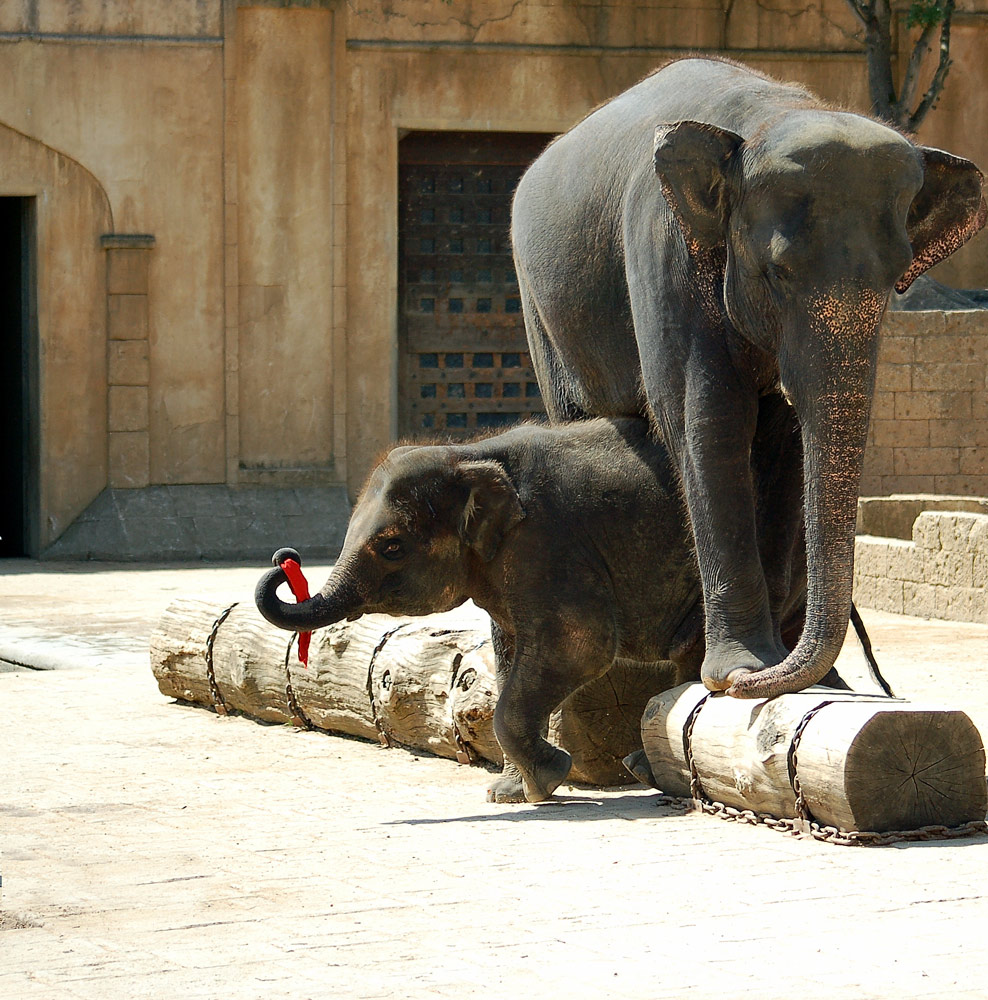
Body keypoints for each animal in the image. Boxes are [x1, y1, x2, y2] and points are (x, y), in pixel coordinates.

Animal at [251, 418, 792, 800]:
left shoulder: (548, 544)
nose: (284, 559)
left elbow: (581, 645)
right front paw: (509, 793)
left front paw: (547, 778)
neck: (471, 454)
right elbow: (511, 653)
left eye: (392, 547)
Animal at [512, 54, 984, 696]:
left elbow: (786, 442)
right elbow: (710, 422)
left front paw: (783, 675)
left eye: (896, 280)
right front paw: (740, 669)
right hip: (540, 306)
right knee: (586, 418)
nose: (736, 687)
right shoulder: (666, 248)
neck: (771, 116)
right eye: (777, 273)